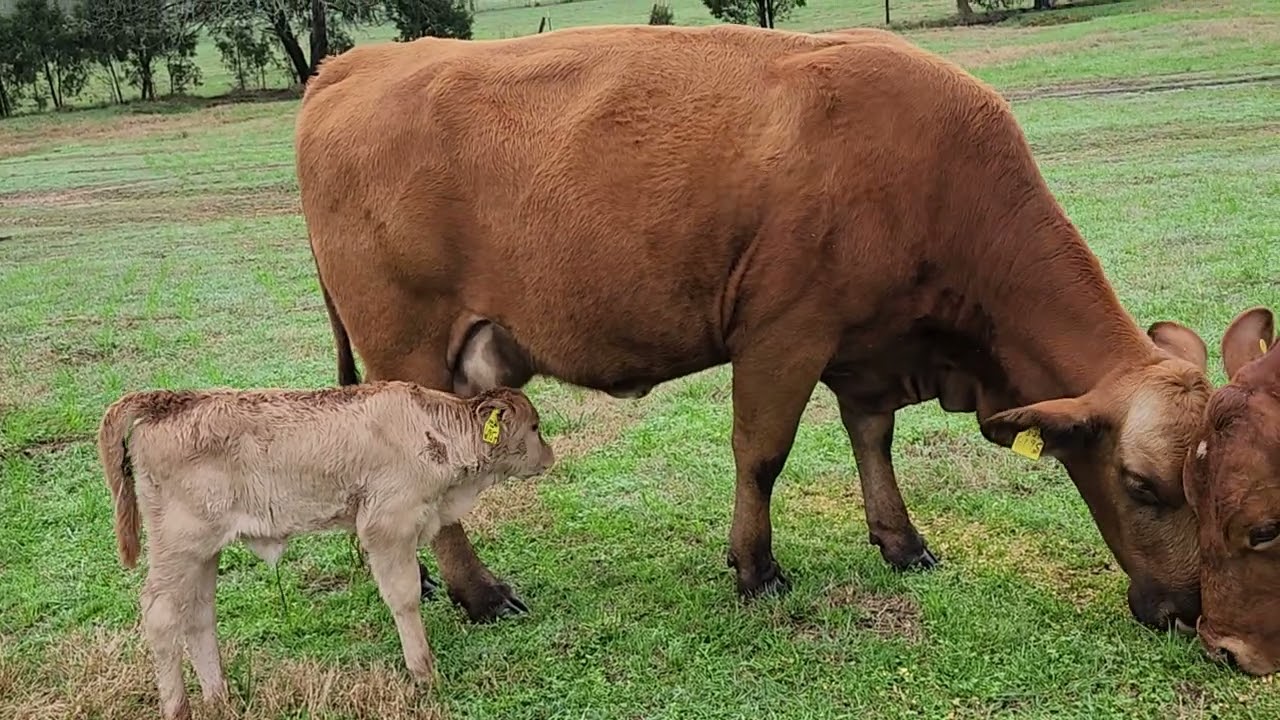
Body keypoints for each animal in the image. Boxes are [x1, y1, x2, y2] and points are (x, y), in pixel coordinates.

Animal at [96, 382, 554, 720]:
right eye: (534, 427)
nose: (549, 456)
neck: (435, 431)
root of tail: (172, 400)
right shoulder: (387, 526)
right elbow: (404, 598)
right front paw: (424, 675)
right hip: (179, 546)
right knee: (160, 615)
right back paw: (179, 708)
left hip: (204, 552)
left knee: (198, 616)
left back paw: (220, 698)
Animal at [295, 23, 1211, 630]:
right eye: (1142, 486)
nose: (1190, 609)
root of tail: (357, 61)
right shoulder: (785, 333)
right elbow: (762, 454)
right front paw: (756, 567)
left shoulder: (869, 345)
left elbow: (872, 437)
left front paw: (900, 540)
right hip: (410, 347)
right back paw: (479, 594)